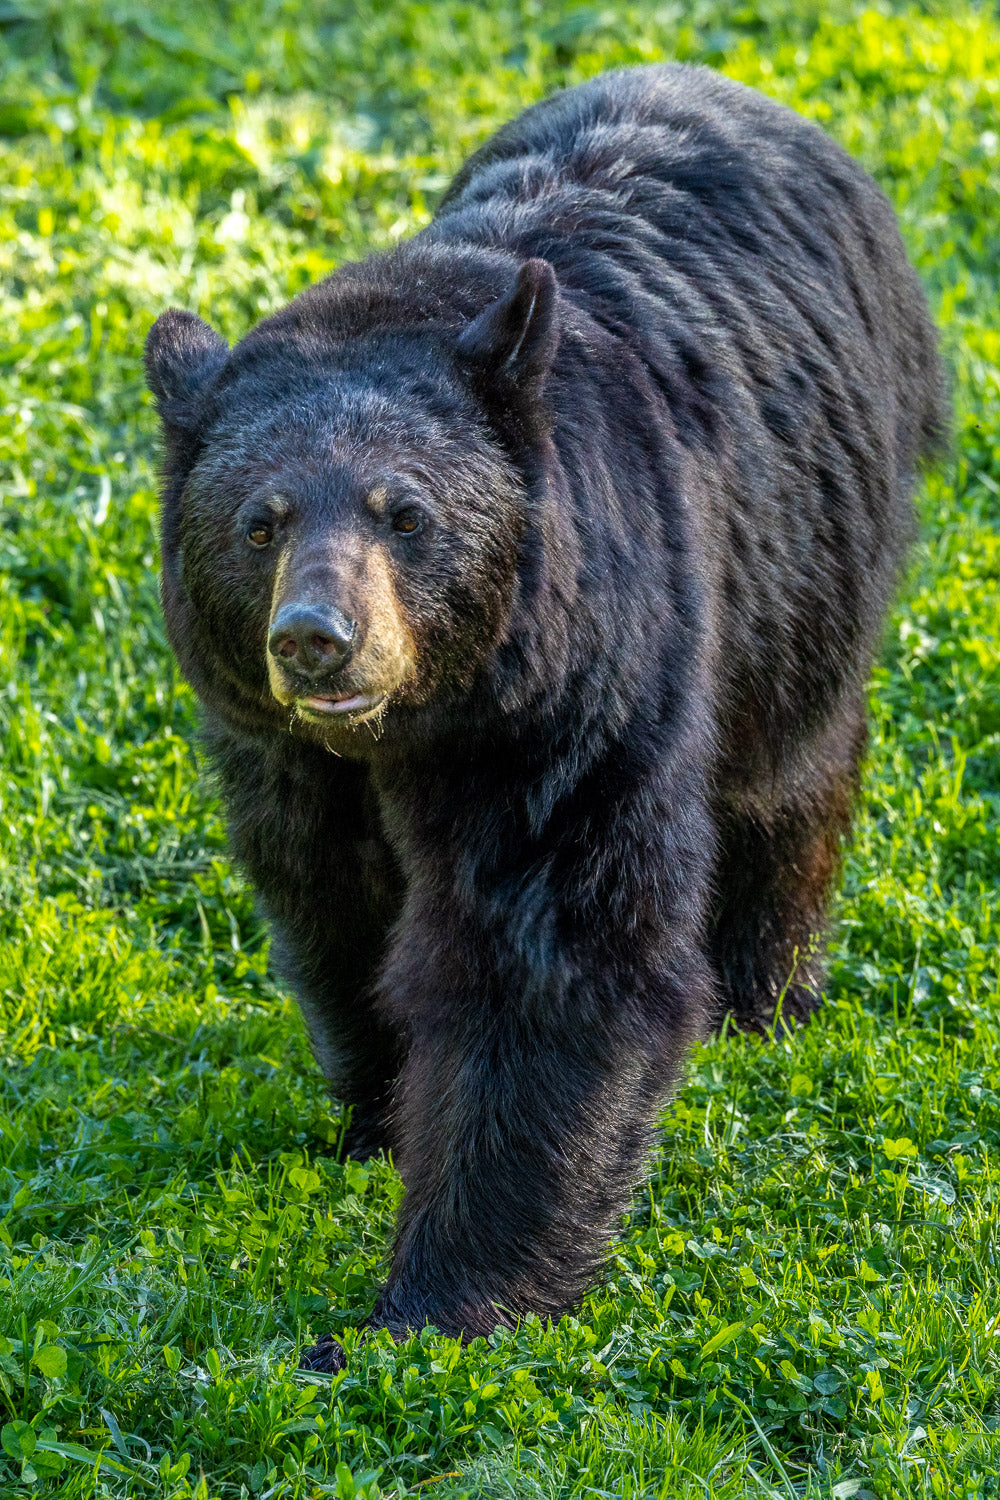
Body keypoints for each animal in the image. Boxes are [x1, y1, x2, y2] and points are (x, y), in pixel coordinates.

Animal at [144, 63, 946, 1371]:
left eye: (404, 512)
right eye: (258, 522)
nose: (316, 638)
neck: (417, 725)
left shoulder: (575, 692)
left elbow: (553, 949)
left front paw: (433, 1301)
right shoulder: (279, 754)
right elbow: (331, 905)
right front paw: (372, 1118)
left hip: (804, 560)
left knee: (790, 774)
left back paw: (765, 995)